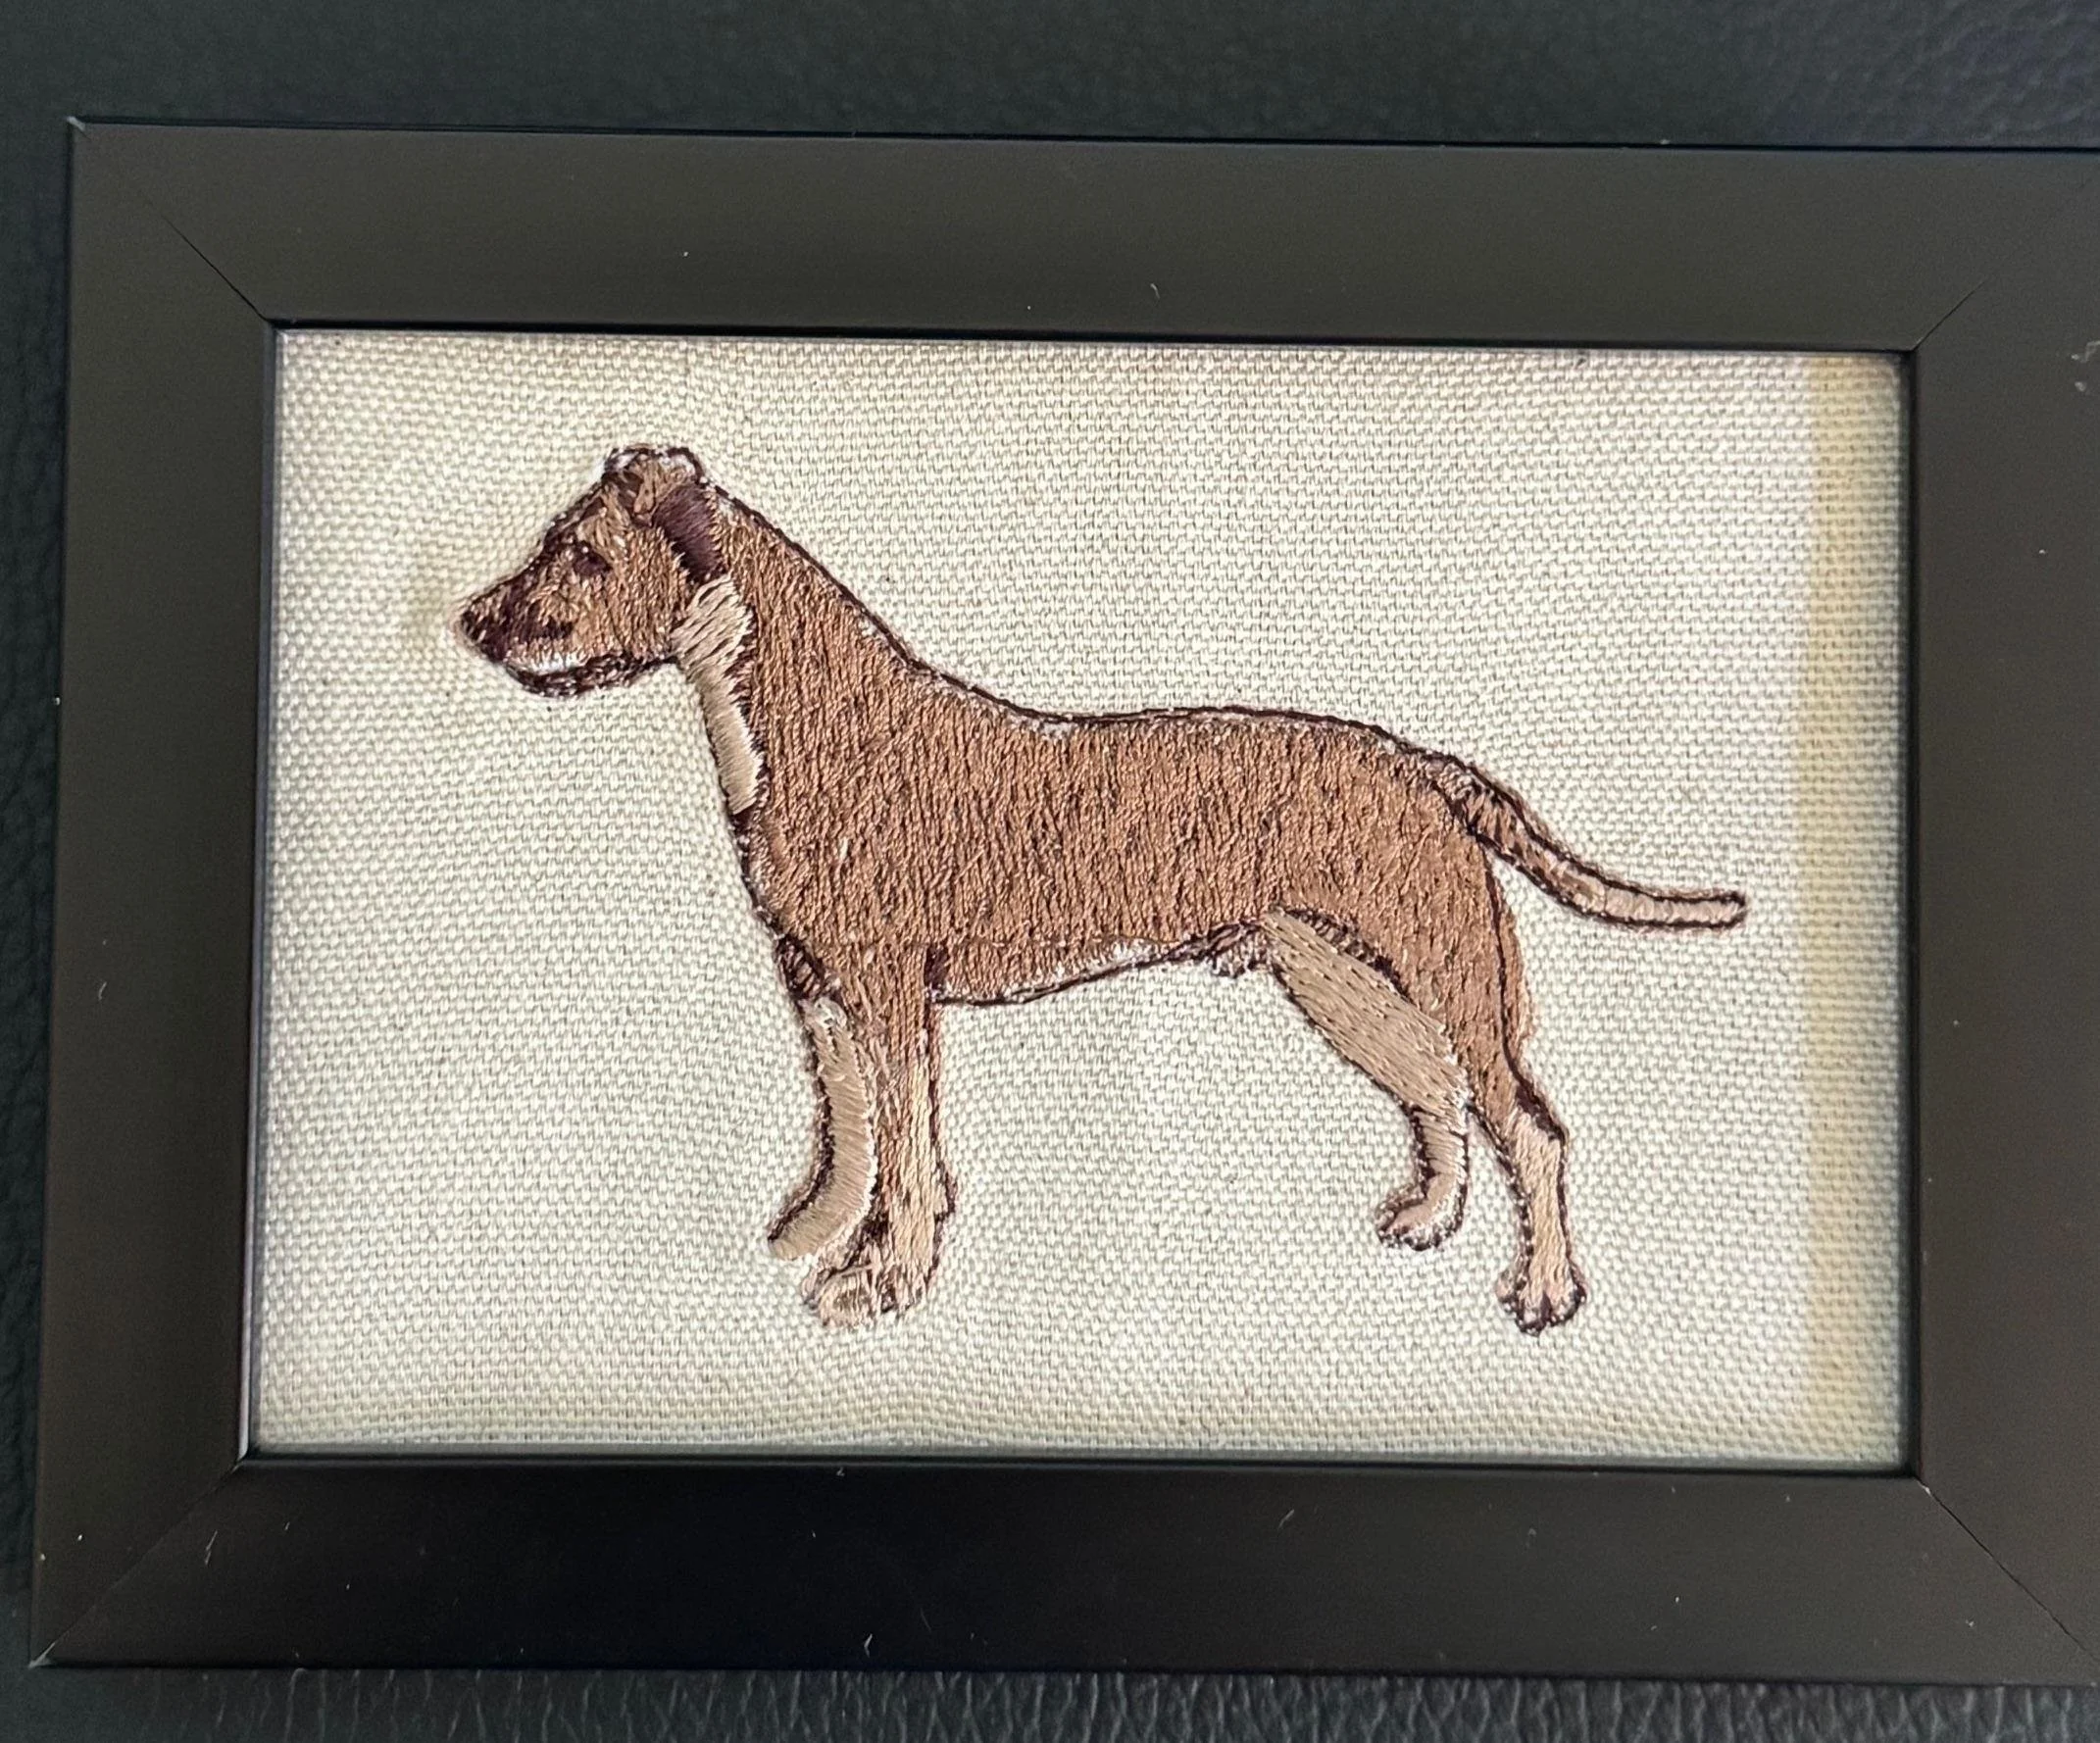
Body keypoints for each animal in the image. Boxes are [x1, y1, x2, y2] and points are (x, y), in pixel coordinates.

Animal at [453, 445, 1747, 1333]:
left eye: (583, 553)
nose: (469, 621)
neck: (801, 725)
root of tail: (1421, 763)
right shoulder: (815, 986)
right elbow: (851, 1133)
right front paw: (816, 1234)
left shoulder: (887, 991)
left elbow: (907, 1154)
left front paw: (880, 1281)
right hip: (1330, 972)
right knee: (1436, 1092)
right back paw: (1427, 1217)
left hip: (1446, 968)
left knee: (1527, 1122)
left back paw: (1544, 1288)